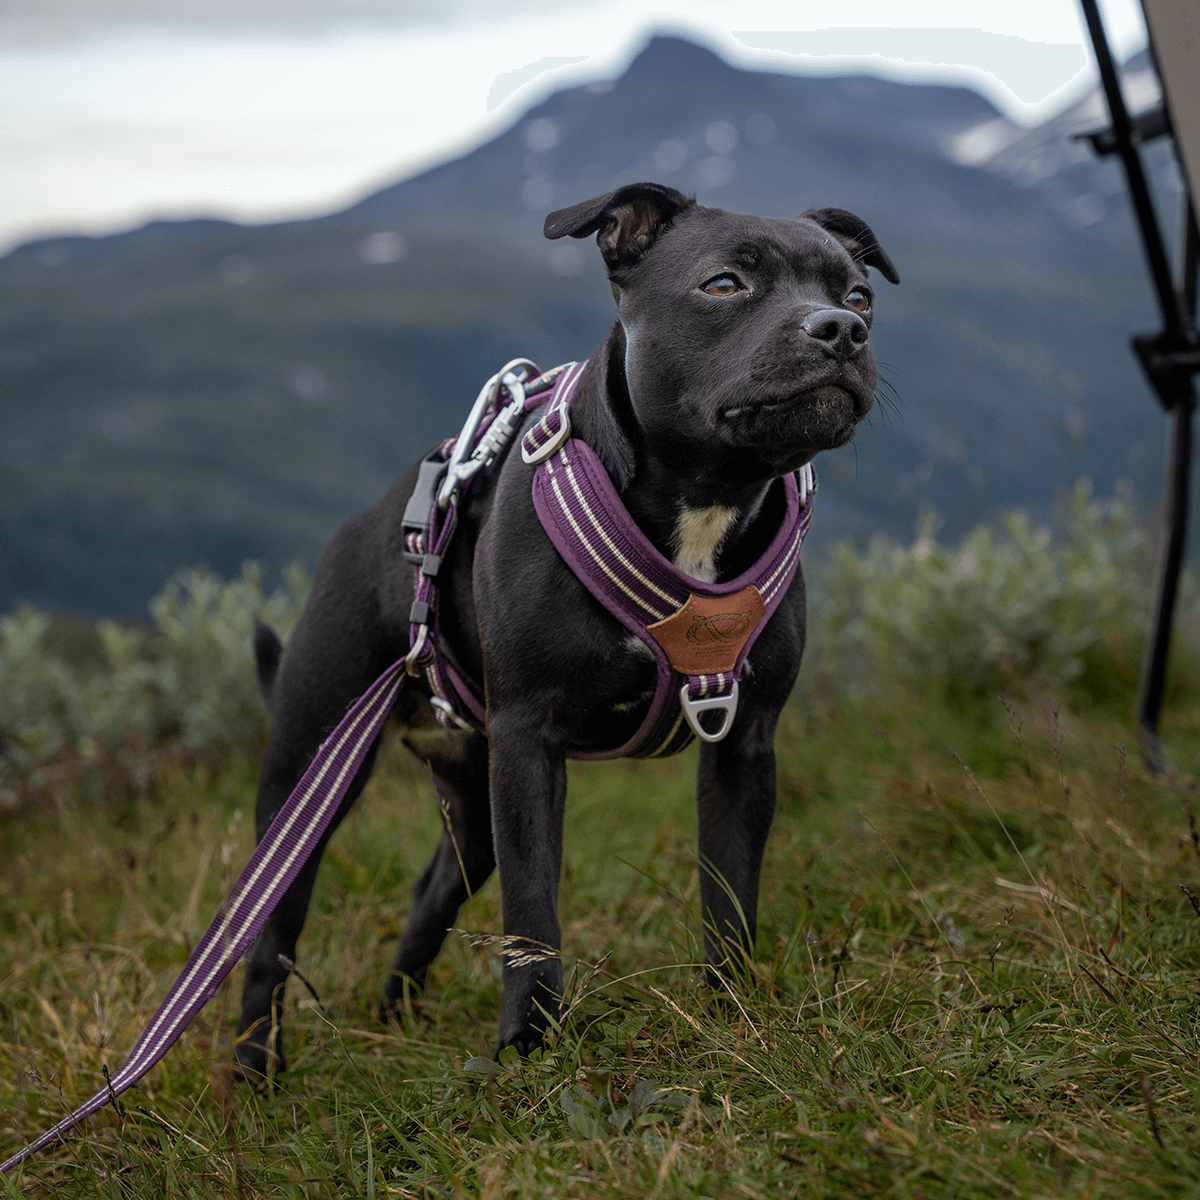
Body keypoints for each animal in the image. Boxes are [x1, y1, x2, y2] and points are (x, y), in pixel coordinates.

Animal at [234, 182, 897, 1075]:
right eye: (725, 284)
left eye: (858, 295)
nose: (840, 330)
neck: (707, 498)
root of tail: (371, 524)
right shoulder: (530, 739)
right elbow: (533, 911)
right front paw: (530, 1043)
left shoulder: (744, 743)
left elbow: (729, 891)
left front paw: (735, 1018)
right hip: (309, 773)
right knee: (271, 930)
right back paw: (255, 1070)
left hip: (468, 795)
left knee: (431, 891)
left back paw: (395, 1014)